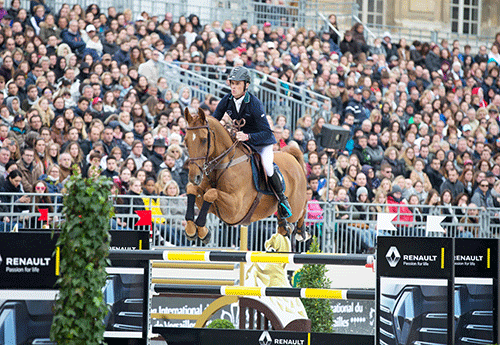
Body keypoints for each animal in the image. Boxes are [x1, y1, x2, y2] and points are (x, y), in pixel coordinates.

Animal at [183, 109, 308, 243]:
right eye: (186, 141)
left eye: (204, 140)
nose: (194, 177)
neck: (223, 165)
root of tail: (291, 157)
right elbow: (192, 189)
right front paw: (195, 231)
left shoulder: (235, 209)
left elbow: (211, 193)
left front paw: (201, 231)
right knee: (284, 225)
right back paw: (284, 226)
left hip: (296, 206)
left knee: (302, 208)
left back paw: (300, 231)